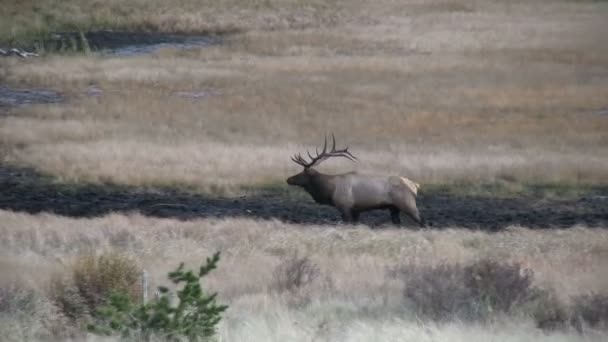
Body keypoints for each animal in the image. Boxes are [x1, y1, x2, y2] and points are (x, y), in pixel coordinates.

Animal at [288, 134, 426, 227]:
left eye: (302, 173)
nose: (288, 179)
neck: (330, 190)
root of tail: (415, 185)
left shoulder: (345, 206)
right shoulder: (356, 210)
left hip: (408, 204)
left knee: (422, 221)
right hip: (394, 208)